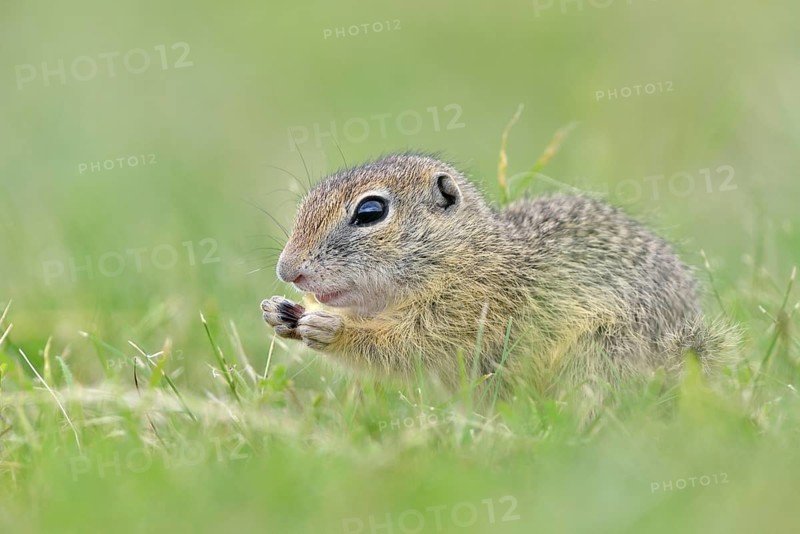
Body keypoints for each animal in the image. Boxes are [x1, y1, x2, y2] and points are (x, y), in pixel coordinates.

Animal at [261, 153, 735, 391]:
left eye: (370, 211)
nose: (288, 271)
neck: (468, 256)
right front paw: (279, 313)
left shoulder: (469, 313)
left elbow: (407, 348)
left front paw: (330, 329)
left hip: (602, 347)